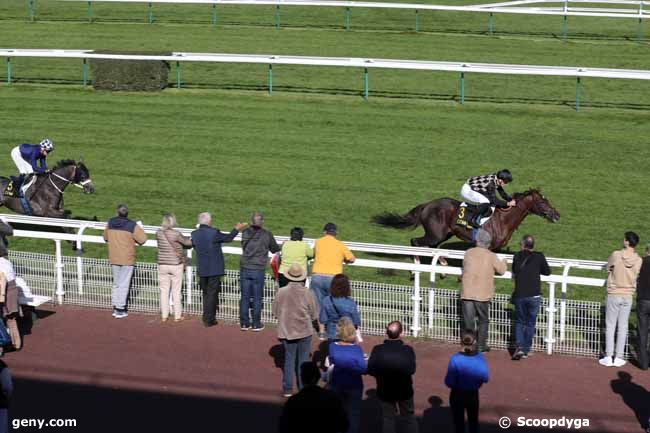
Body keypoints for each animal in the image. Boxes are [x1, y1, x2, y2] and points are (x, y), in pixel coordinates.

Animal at [372, 188, 560, 250]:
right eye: (542, 202)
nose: (556, 215)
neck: (503, 219)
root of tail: (427, 205)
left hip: (443, 235)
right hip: (435, 234)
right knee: (415, 242)